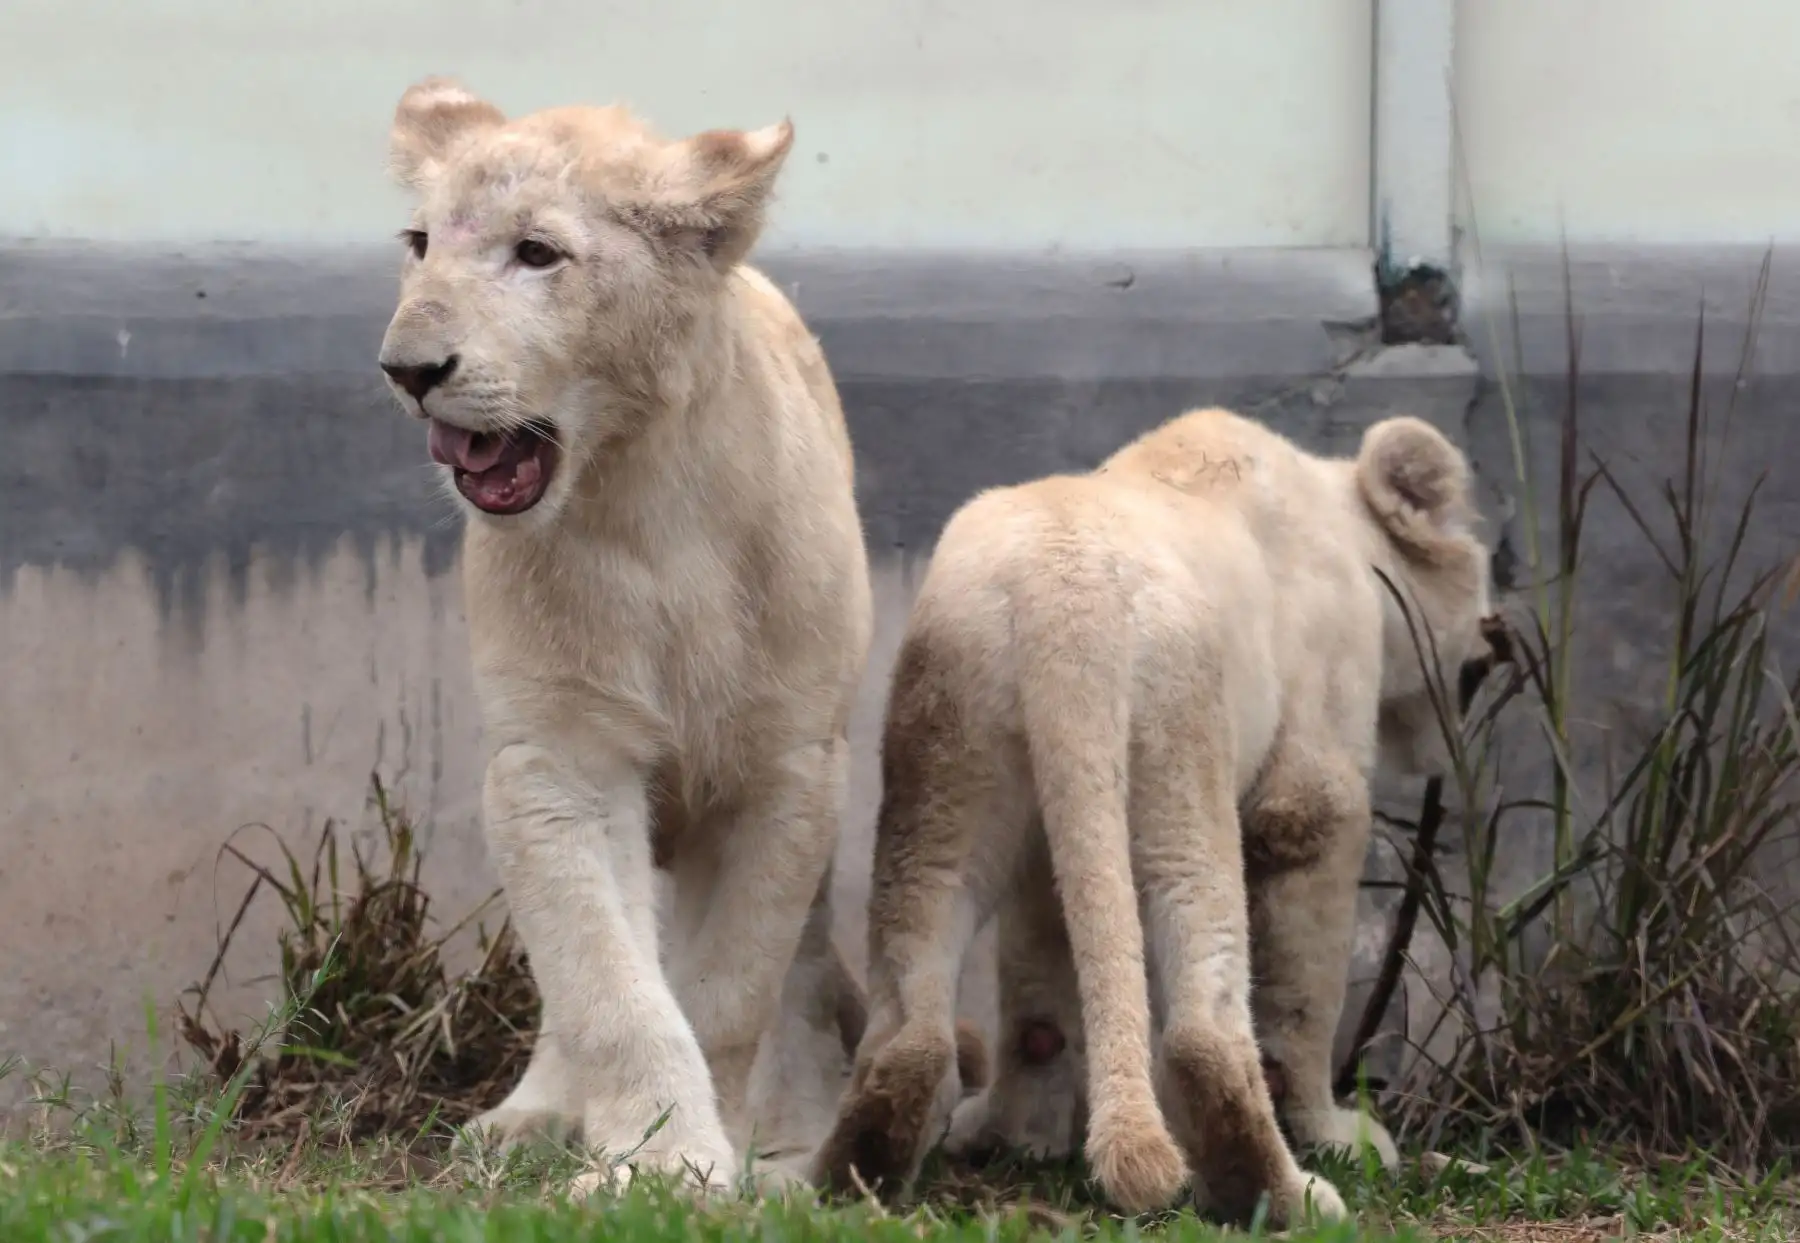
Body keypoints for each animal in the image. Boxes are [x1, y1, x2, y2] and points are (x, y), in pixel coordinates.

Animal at [374, 77, 876, 1194]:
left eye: (536, 253)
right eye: (420, 242)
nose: (407, 368)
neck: (646, 504)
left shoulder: (786, 771)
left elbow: (729, 989)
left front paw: (718, 1165)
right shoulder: (558, 759)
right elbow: (608, 982)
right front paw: (651, 1159)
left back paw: (797, 1138)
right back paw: (526, 1119)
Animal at [811, 407, 1498, 1227]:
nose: (1495, 641)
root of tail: (1064, 605)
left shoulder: (1056, 832)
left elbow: (1047, 970)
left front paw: (1032, 1137)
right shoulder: (1311, 785)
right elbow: (1304, 987)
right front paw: (1338, 1134)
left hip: (950, 746)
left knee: (919, 991)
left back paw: (869, 1167)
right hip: (1179, 744)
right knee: (1204, 1015)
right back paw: (1288, 1193)